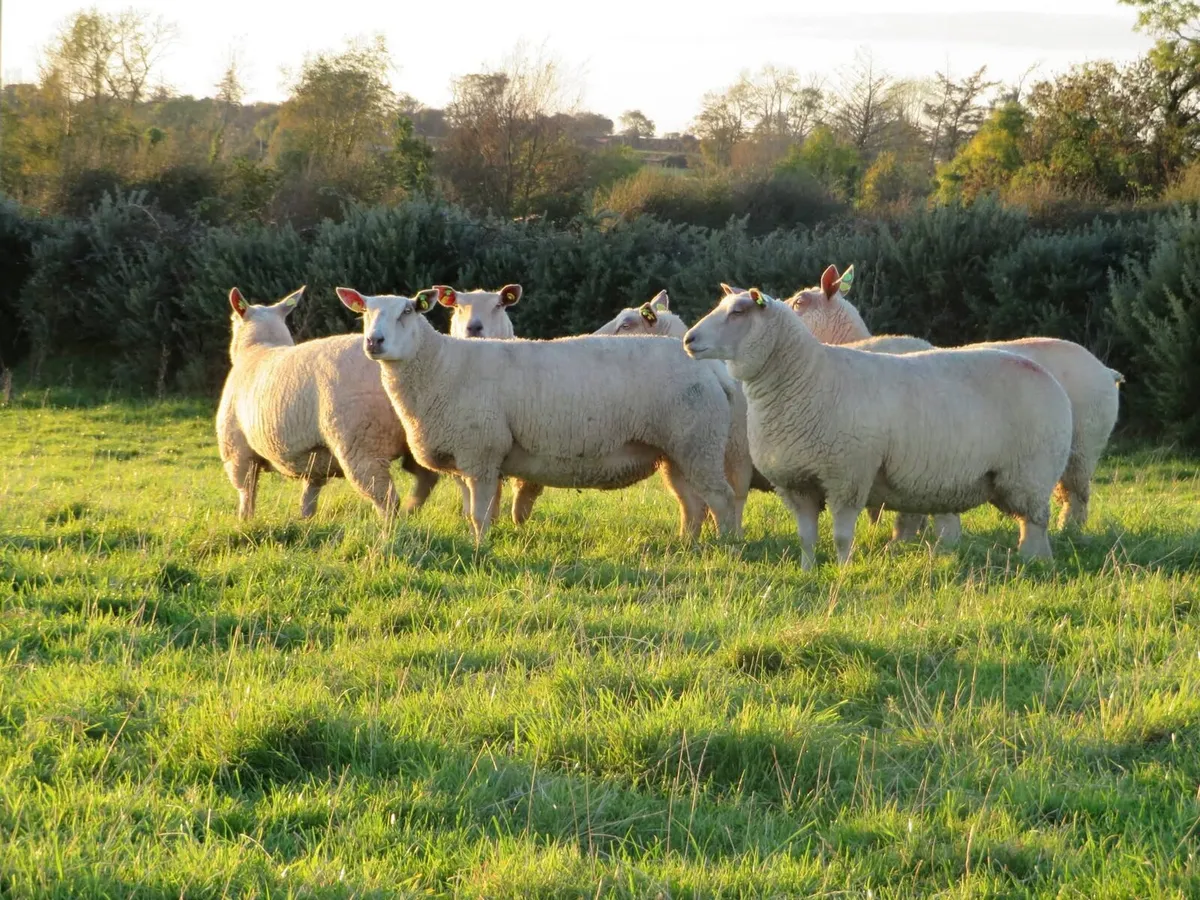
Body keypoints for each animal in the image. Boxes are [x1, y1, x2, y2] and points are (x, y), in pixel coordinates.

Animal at [215, 286, 439, 521]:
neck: (258, 347)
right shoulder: (314, 460)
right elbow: (309, 495)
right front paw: (306, 521)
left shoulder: (237, 452)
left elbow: (246, 493)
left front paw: (244, 522)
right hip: (418, 437)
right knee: (426, 478)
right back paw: (411, 510)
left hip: (361, 442)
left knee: (386, 498)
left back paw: (390, 527)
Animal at [336, 285, 752, 543]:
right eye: (365, 313)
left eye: (407, 310)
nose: (374, 341)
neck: (440, 366)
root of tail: (709, 369)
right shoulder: (468, 459)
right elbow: (476, 511)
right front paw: (477, 542)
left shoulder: (481, 454)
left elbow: (480, 514)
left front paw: (480, 548)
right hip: (677, 450)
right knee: (692, 503)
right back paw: (687, 545)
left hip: (697, 443)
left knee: (721, 497)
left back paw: (726, 547)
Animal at [683, 288, 1073, 569]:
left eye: (738, 312)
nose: (688, 340)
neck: (807, 378)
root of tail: (1046, 376)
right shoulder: (796, 482)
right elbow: (806, 537)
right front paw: (808, 570)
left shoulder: (847, 475)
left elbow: (842, 536)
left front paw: (842, 571)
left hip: (1031, 473)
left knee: (1035, 523)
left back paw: (1034, 563)